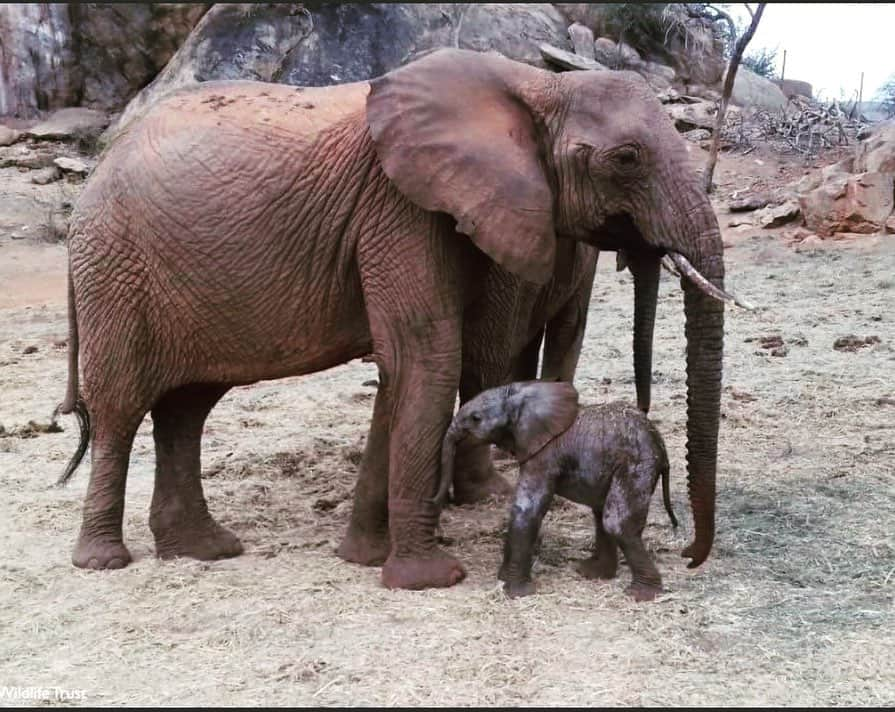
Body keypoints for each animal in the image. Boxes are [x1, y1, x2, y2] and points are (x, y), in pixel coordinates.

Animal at [436, 382, 680, 604]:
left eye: (476, 418)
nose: (441, 535)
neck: (521, 393)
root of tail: (661, 446)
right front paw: (504, 579)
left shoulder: (544, 456)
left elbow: (527, 511)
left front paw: (515, 593)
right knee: (601, 514)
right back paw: (593, 573)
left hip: (637, 465)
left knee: (616, 522)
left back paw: (640, 594)